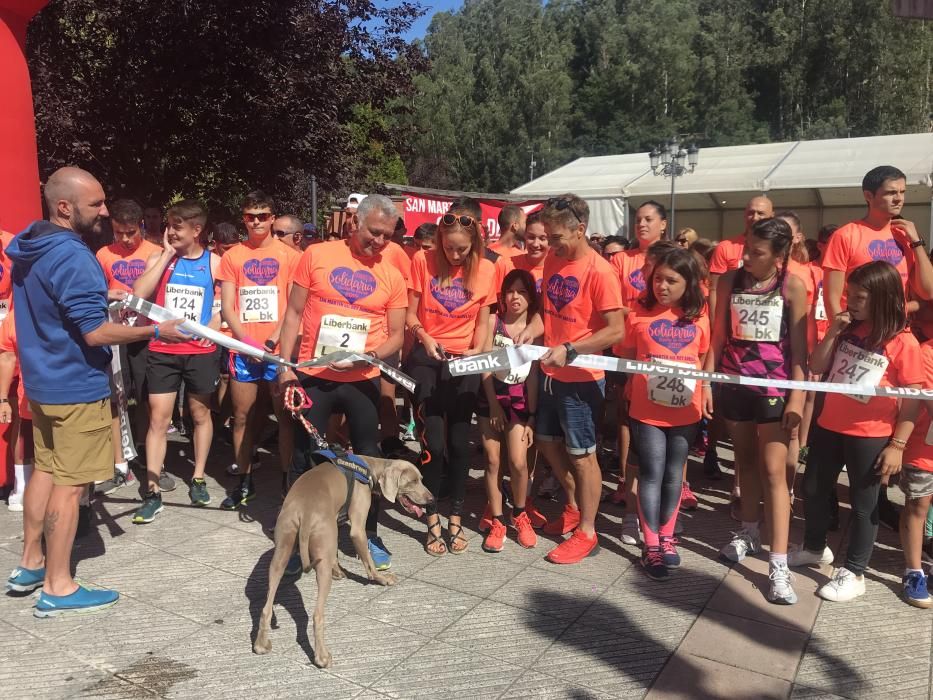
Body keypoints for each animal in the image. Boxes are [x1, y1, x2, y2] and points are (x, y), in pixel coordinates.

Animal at [251, 454, 434, 668]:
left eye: (421, 479)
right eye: (412, 481)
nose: (432, 499)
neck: (370, 467)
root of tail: (305, 512)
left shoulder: (335, 524)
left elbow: (335, 552)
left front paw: (338, 571)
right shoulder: (356, 528)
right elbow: (368, 562)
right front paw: (382, 579)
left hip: (282, 550)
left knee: (266, 606)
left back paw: (261, 645)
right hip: (319, 556)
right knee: (317, 614)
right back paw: (321, 657)